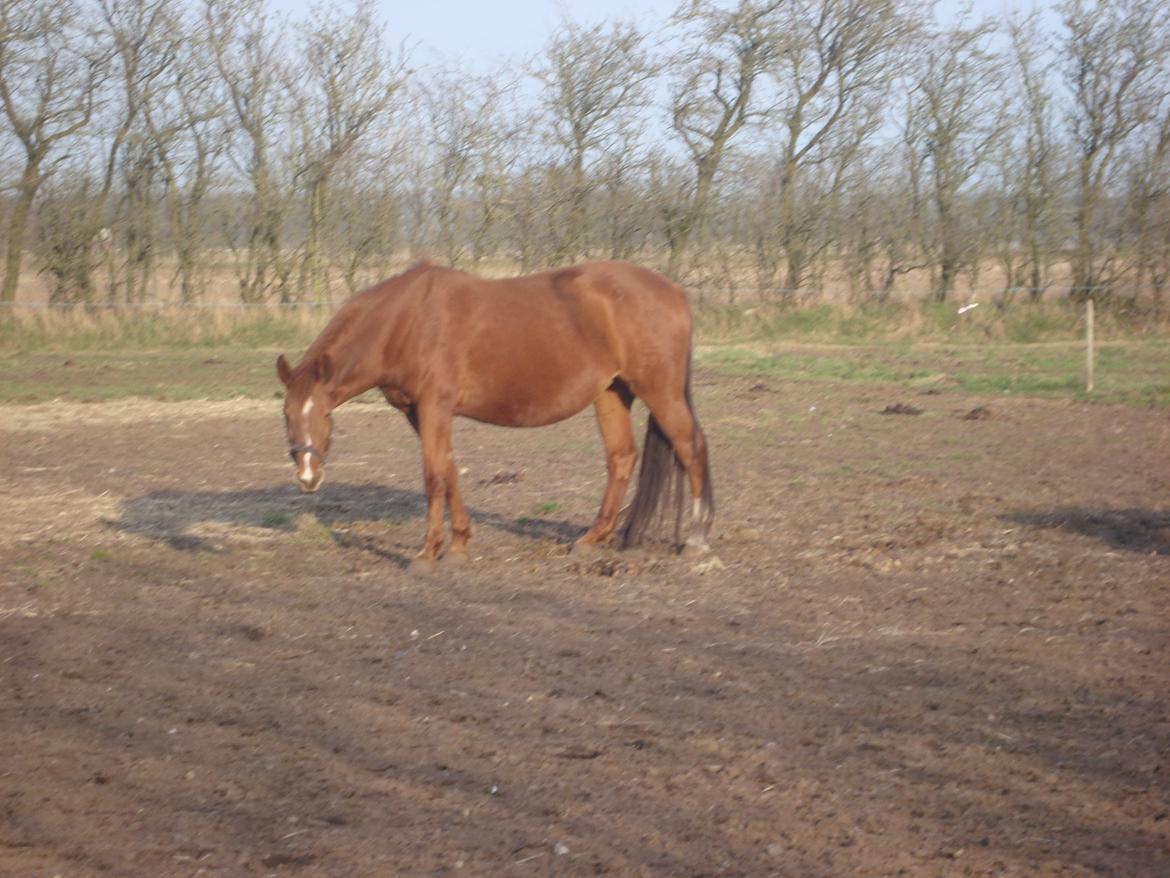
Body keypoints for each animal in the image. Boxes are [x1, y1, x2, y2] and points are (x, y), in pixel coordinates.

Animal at [276, 259, 711, 571]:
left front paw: (427, 553)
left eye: (324, 415)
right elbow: (449, 471)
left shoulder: (434, 407)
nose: (307, 477)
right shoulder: (420, 413)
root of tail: (674, 290)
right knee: (621, 458)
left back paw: (696, 540)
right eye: (286, 415)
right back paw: (592, 540)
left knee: (691, 449)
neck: (407, 321)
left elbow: (433, 476)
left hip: (660, 391)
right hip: (611, 394)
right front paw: (458, 546)